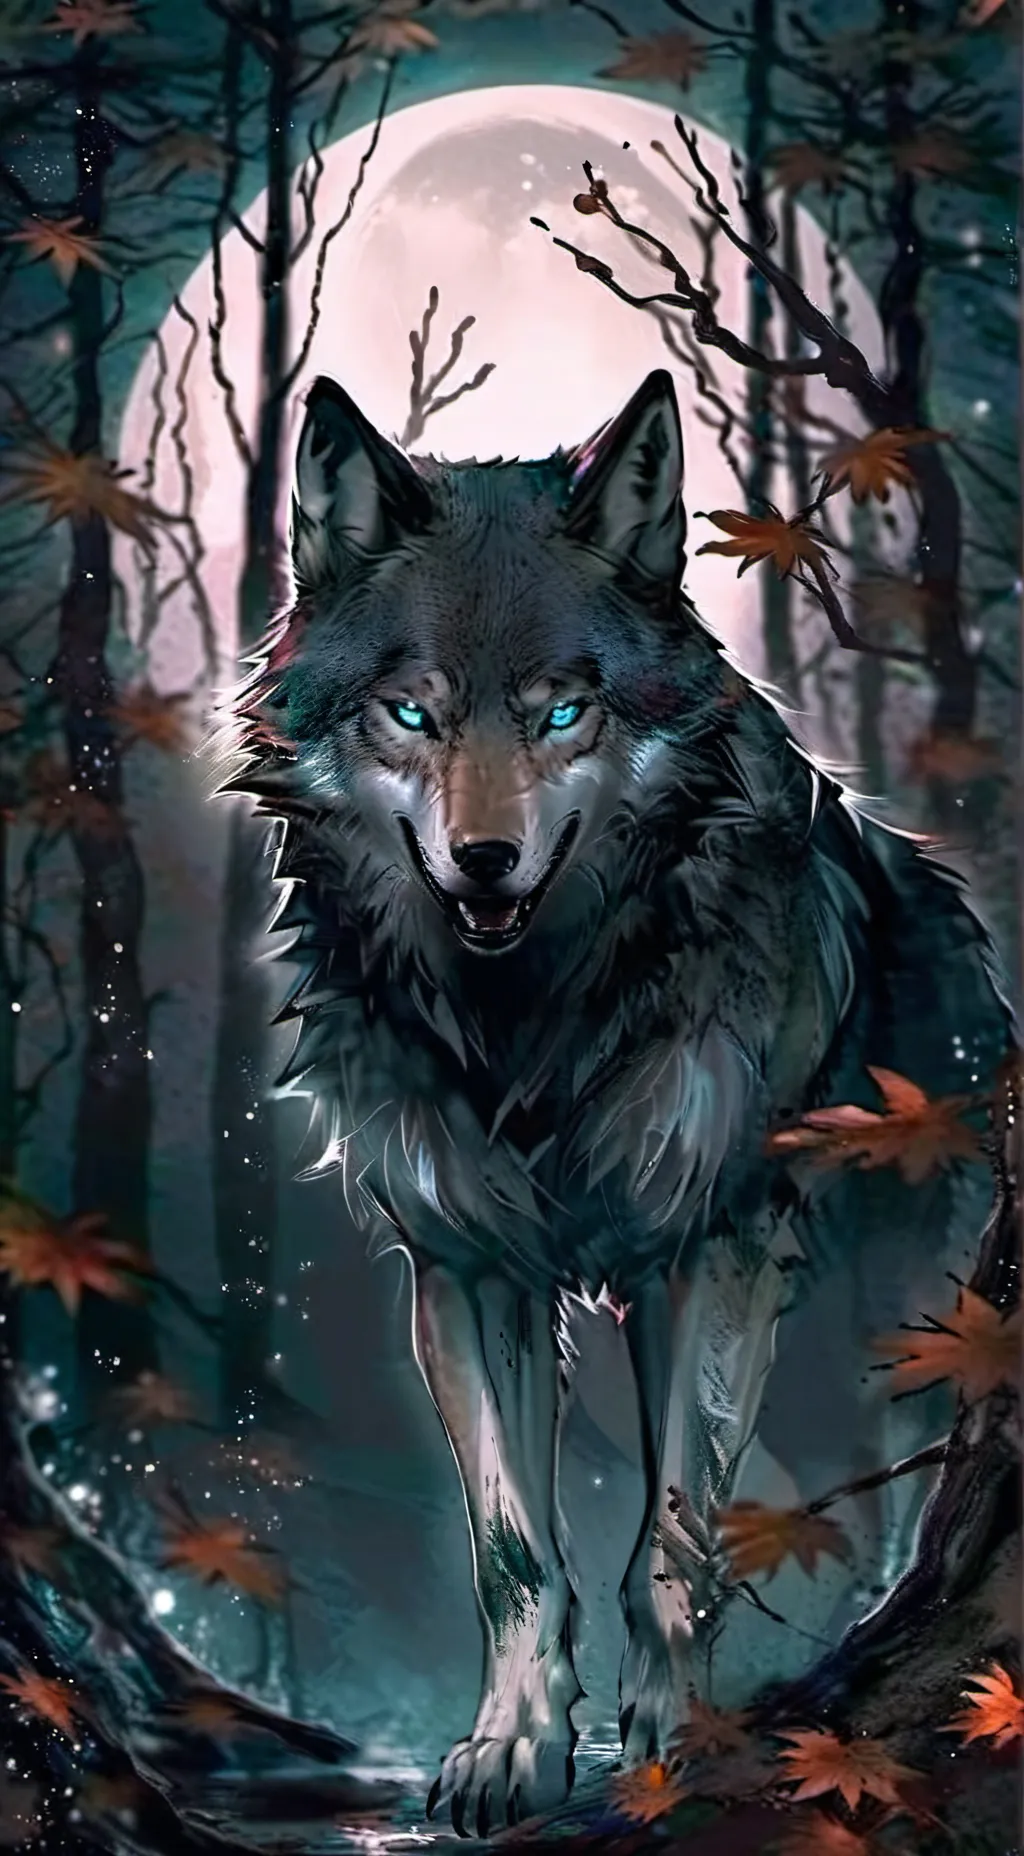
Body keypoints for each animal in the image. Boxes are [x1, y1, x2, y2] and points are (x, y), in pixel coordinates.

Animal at [226, 369, 1012, 1836]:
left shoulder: (710, 1249)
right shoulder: (467, 1266)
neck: (530, 1018)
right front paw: (510, 1748)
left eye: (561, 712)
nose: (484, 860)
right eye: (412, 714)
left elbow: (676, 1534)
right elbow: (514, 1551)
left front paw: (675, 1747)